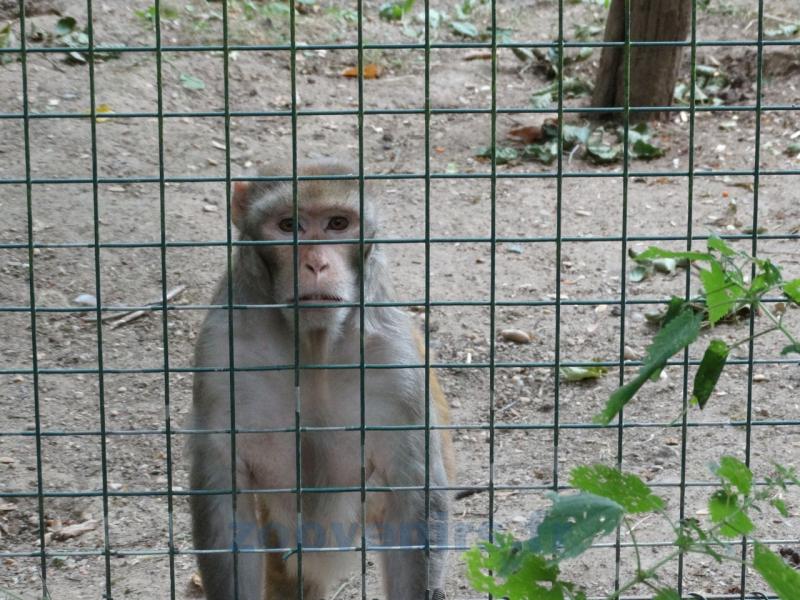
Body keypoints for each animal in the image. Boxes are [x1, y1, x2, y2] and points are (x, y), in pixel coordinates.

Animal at [189, 160, 455, 600]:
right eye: (289, 225)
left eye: (337, 223)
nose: (316, 265)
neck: (312, 346)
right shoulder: (221, 354)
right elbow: (226, 504)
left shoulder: (393, 364)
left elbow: (413, 503)